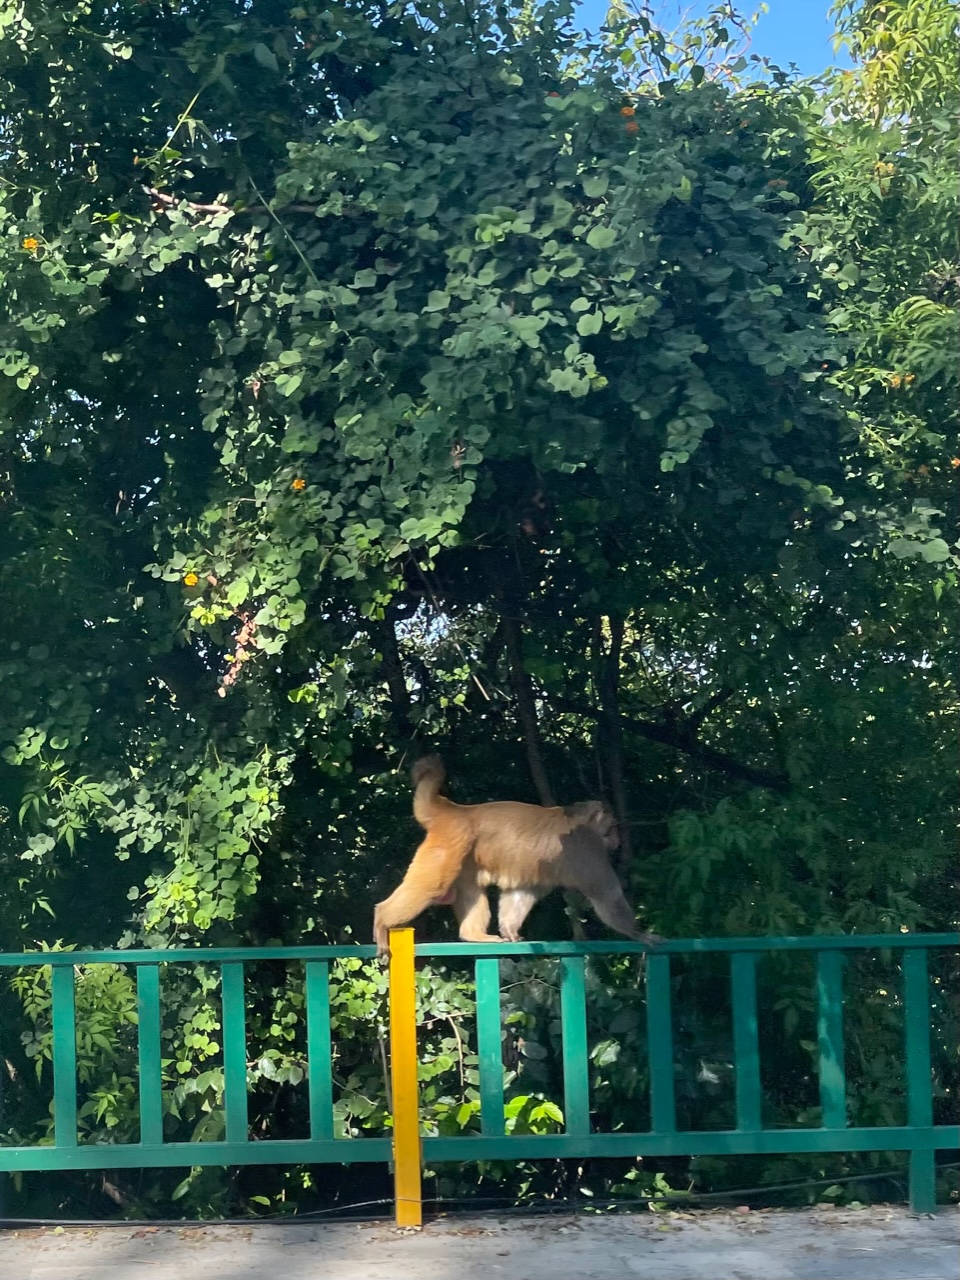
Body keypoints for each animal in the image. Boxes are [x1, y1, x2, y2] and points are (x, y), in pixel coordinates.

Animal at [372, 756, 659, 956]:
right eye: (611, 827)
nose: (617, 840)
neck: (579, 822)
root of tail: (456, 810)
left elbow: (523, 891)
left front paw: (510, 929)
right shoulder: (588, 848)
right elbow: (606, 894)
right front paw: (638, 933)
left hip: (465, 854)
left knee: (470, 888)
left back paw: (474, 935)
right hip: (450, 844)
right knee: (432, 886)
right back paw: (383, 918)